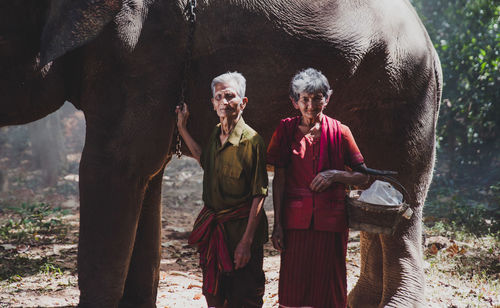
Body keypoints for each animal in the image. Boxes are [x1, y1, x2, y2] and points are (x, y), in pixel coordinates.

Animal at [1, 0, 442, 306]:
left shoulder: (142, 52)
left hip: (404, 91)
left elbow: (115, 166)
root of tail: (432, 48)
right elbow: (147, 173)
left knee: (403, 199)